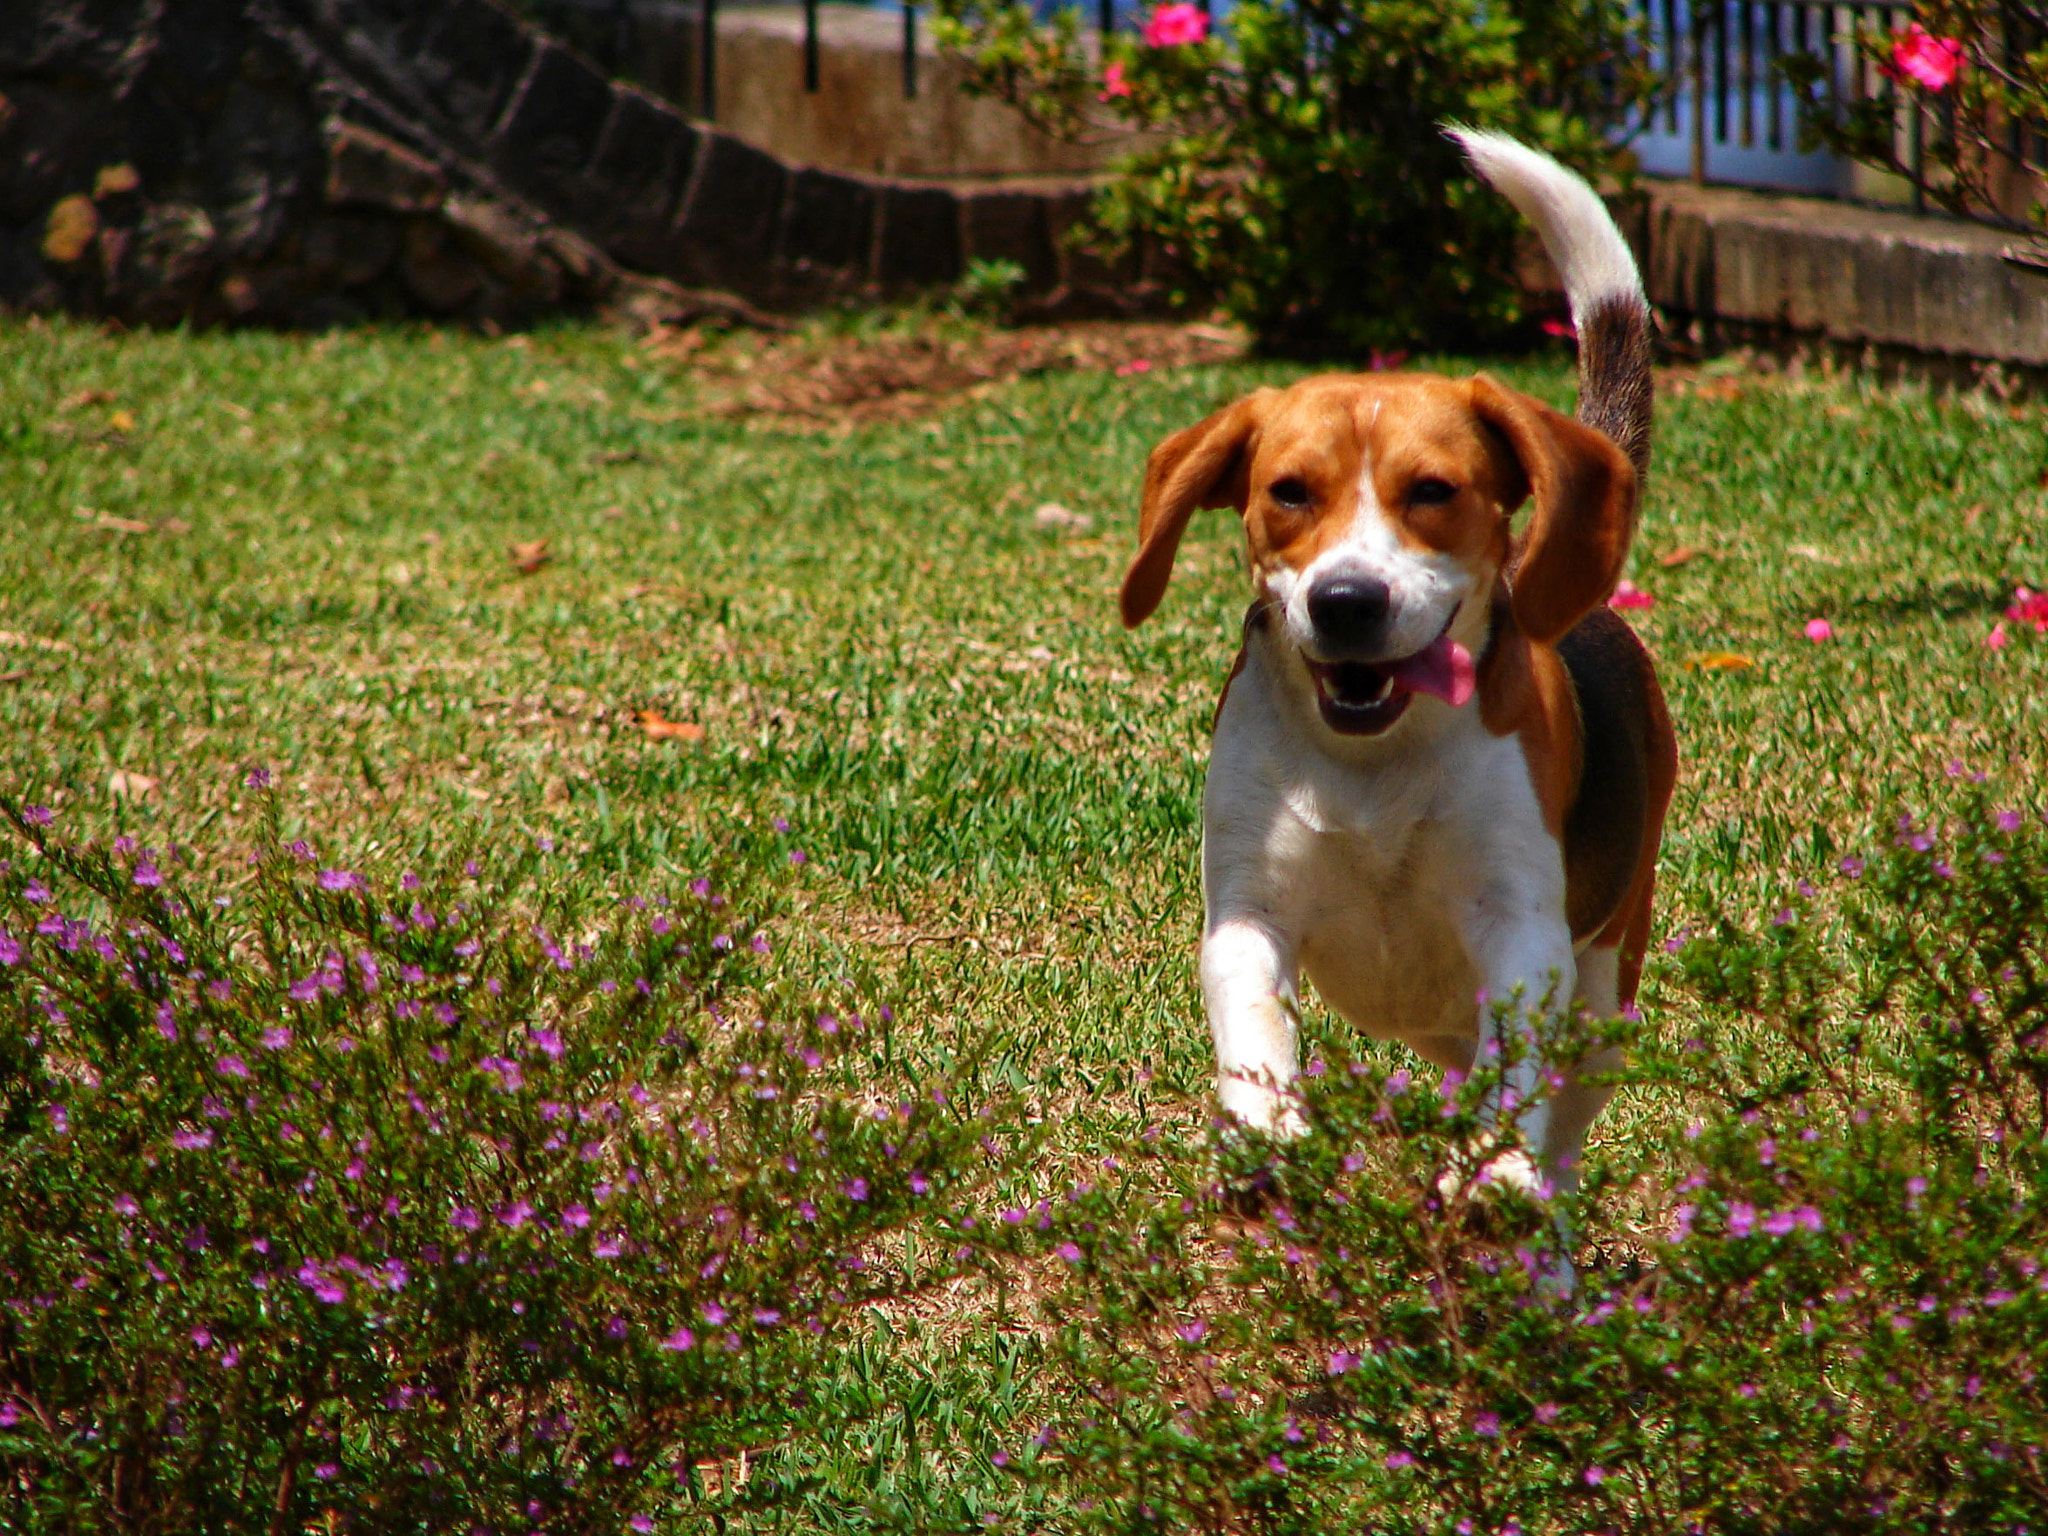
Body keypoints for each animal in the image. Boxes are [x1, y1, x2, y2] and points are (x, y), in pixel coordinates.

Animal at [1122, 132, 1679, 1196]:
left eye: (1433, 491)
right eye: (1288, 493)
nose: (1347, 602)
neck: (1372, 763)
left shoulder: (1521, 928)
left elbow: (1517, 1071)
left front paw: (1495, 1167)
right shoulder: (1248, 911)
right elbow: (1253, 1022)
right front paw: (1264, 1130)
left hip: (1603, 998)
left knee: (1564, 1114)